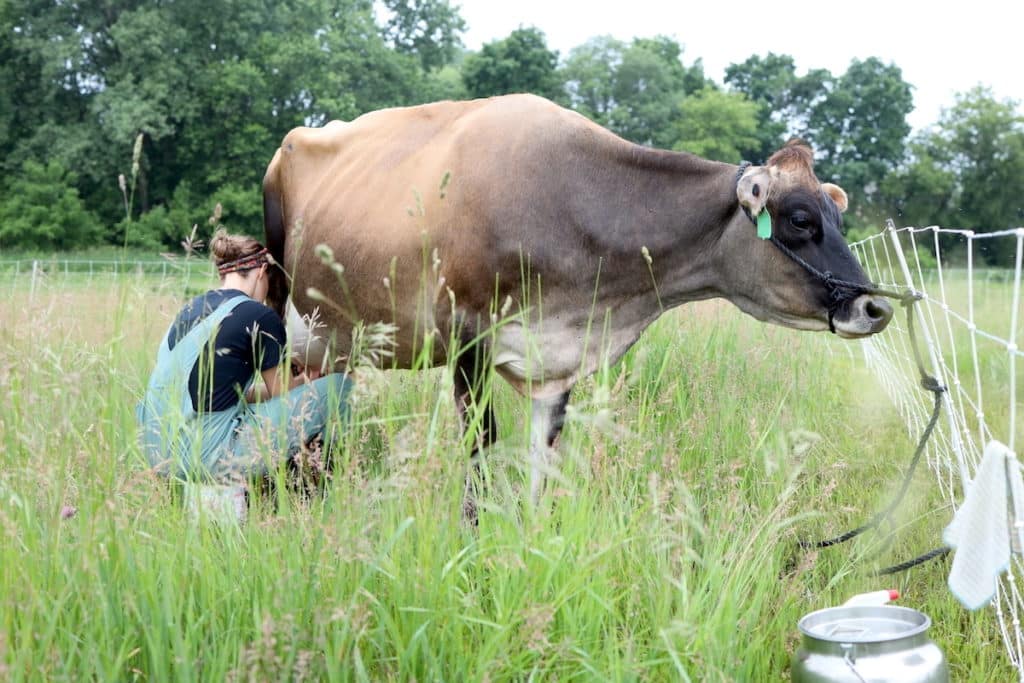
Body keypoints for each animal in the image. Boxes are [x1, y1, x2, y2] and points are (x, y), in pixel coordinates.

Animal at [260, 90, 892, 507]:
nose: (875, 307)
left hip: (337, 339)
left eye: (838, 216)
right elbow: (481, 447)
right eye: (801, 219)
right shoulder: (467, 335)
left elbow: (543, 458)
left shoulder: (558, 356)